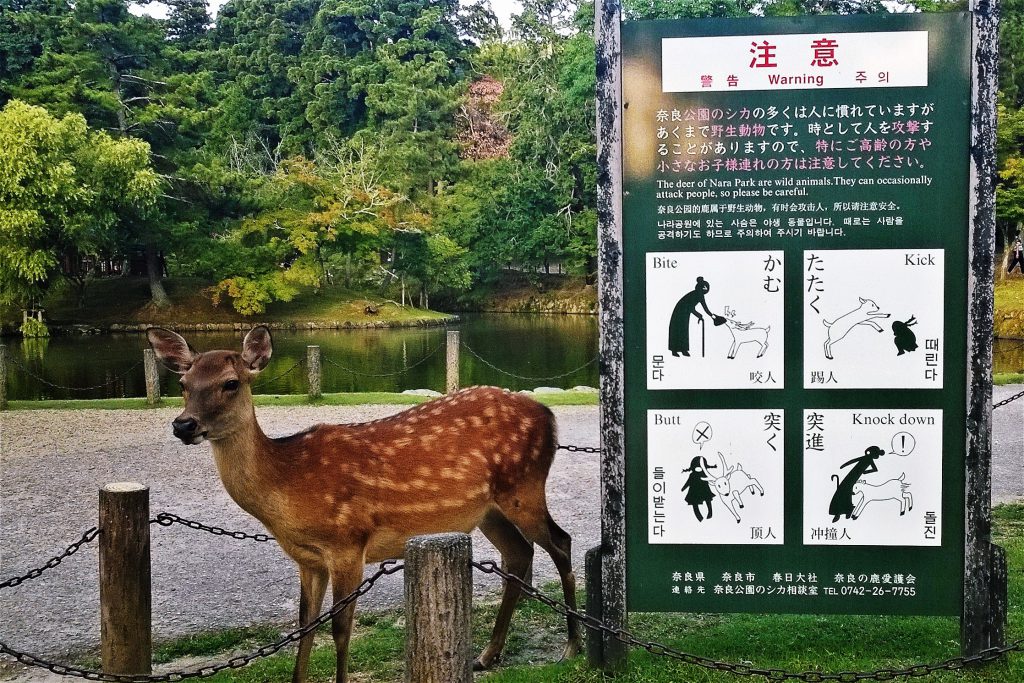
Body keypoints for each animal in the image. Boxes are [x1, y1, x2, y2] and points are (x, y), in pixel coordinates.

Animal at [147, 327, 581, 683]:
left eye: (231, 383)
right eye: (183, 383)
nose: (183, 425)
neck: (288, 484)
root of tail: (549, 416)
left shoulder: (348, 543)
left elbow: (341, 628)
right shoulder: (308, 559)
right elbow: (305, 625)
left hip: (524, 487)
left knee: (561, 542)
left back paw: (572, 647)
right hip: (488, 509)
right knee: (519, 554)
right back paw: (487, 655)